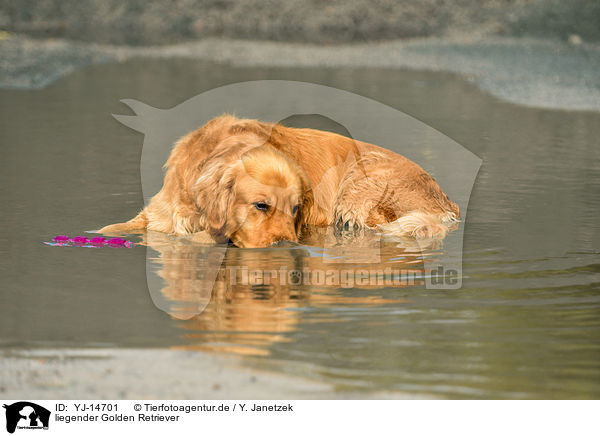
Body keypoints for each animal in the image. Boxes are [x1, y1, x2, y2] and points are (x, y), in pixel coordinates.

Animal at [101, 114, 460, 247]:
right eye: (260, 206)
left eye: (296, 208)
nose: (285, 244)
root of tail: (445, 200)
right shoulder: (157, 213)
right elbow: (111, 228)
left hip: (358, 188)